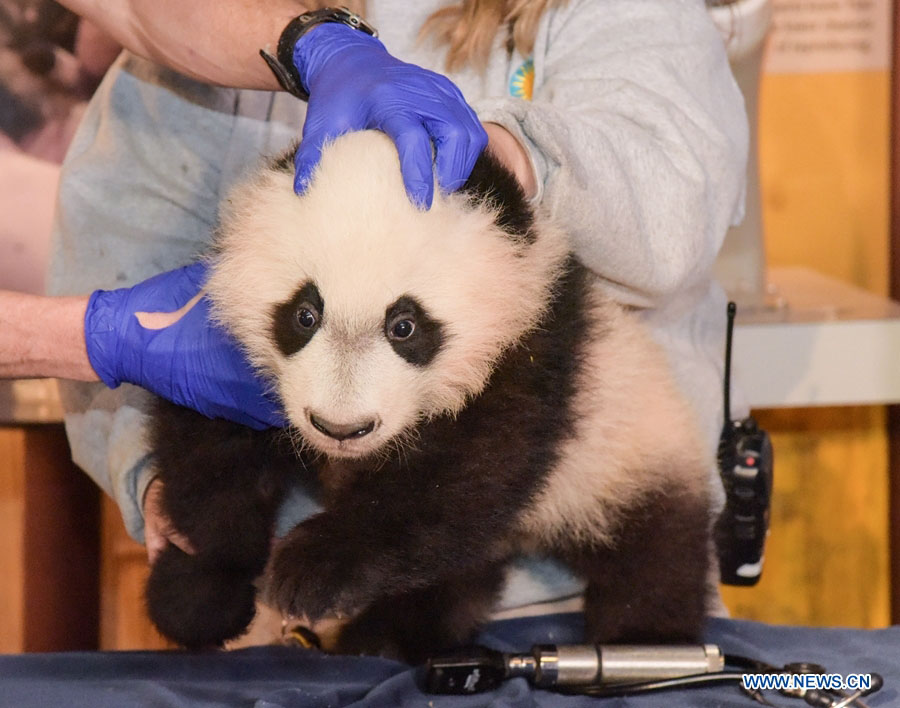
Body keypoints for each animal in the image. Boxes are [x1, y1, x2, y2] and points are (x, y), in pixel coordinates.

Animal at [145, 130, 714, 660]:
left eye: (405, 325)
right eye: (304, 314)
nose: (340, 429)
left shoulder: (530, 355)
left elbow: (459, 482)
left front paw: (313, 568)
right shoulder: (223, 371)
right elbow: (209, 459)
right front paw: (197, 593)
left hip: (626, 447)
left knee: (652, 555)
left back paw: (645, 639)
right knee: (458, 574)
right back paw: (390, 636)